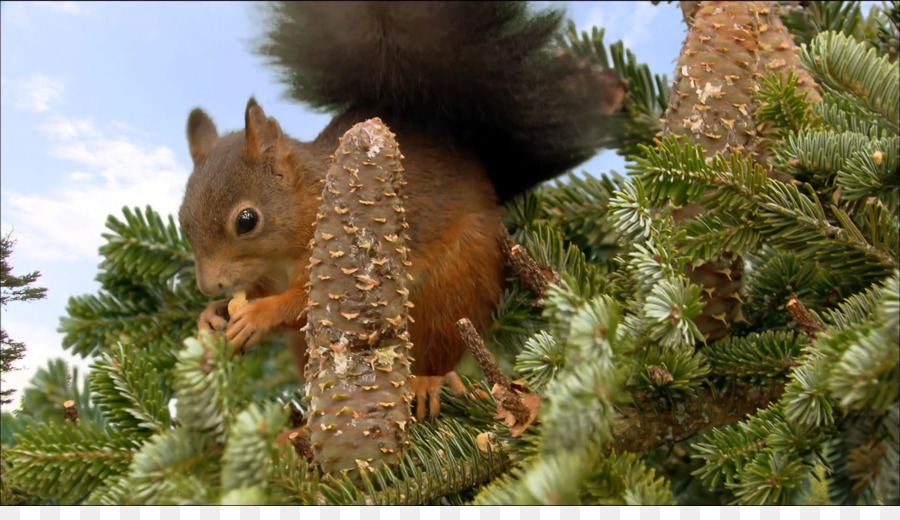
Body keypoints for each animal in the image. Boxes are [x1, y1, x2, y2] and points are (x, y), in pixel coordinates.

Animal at [177, 0, 624, 420]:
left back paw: (427, 382)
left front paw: (258, 315)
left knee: (441, 342)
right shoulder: (267, 272)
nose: (209, 285)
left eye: (246, 221)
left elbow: (312, 304)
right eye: (182, 221)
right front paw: (210, 316)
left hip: (456, 282)